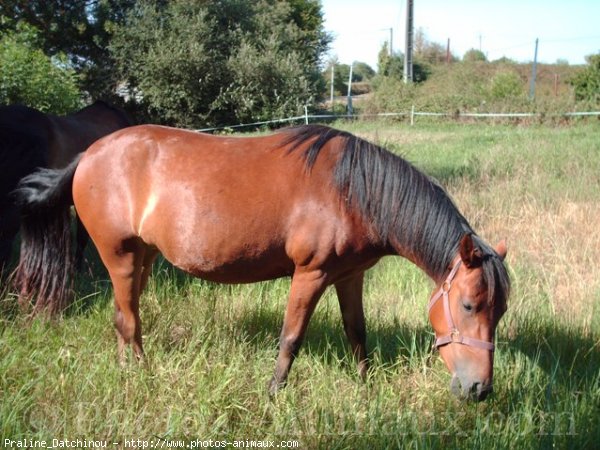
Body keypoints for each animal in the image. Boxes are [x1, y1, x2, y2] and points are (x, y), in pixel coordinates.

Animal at [14, 124, 508, 400]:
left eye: (499, 312)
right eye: (469, 306)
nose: (479, 390)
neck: (355, 191)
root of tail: (88, 156)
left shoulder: (349, 277)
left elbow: (357, 334)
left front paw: (365, 388)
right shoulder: (311, 274)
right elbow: (291, 338)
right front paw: (274, 393)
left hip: (142, 258)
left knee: (124, 315)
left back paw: (128, 370)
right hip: (117, 255)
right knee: (128, 320)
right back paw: (142, 376)